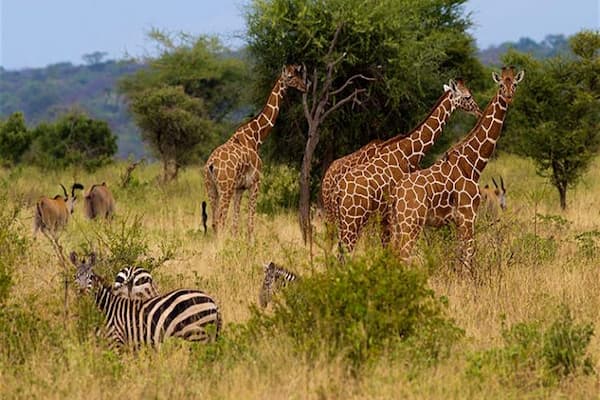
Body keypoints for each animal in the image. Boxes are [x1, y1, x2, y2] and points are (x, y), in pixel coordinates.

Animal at [70, 252, 220, 348]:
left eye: (90, 277)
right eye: (76, 277)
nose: (82, 292)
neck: (108, 309)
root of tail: (212, 301)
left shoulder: (117, 341)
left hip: (196, 335)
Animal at [206, 64, 310, 236]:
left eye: (298, 74)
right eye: (289, 77)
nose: (304, 87)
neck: (255, 138)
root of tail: (211, 165)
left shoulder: (239, 188)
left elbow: (235, 224)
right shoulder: (255, 183)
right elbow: (250, 223)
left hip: (211, 188)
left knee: (214, 222)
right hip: (225, 188)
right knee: (220, 221)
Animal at [336, 79, 480, 253]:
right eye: (467, 96)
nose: (478, 110)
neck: (409, 151)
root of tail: (338, 191)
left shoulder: (387, 213)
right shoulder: (392, 211)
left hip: (344, 220)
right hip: (353, 218)